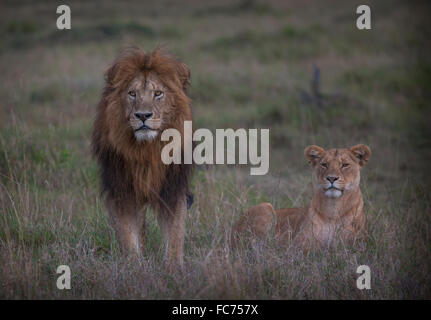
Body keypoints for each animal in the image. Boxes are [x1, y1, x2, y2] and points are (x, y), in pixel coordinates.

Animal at [93, 48, 194, 268]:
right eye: (132, 93)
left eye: (158, 94)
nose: (142, 115)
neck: (147, 150)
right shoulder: (122, 189)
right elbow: (128, 234)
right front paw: (134, 268)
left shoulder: (172, 188)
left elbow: (176, 232)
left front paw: (174, 268)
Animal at [233, 144, 372, 249]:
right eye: (324, 164)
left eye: (345, 165)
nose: (331, 178)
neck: (333, 207)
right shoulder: (300, 244)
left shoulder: (358, 244)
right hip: (265, 207)